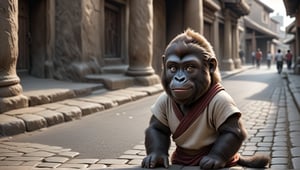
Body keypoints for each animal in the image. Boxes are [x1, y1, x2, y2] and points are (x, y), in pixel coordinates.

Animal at [141, 28, 270, 169]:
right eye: (173, 68)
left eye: (189, 68)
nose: (179, 78)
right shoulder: (162, 100)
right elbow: (157, 129)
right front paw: (156, 156)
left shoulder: (223, 102)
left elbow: (231, 131)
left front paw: (214, 158)